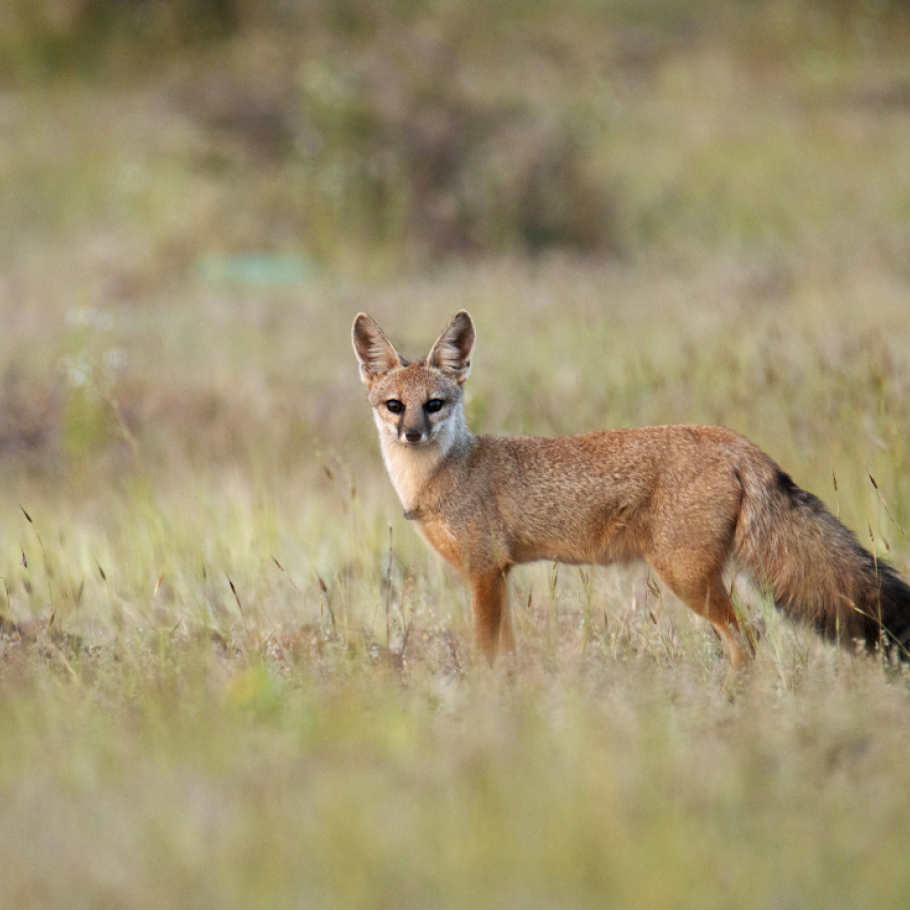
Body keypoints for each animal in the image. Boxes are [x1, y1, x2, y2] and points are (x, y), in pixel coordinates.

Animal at [352, 310, 910, 668]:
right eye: (395, 406)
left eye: (435, 405)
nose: (412, 434)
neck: (446, 472)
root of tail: (730, 439)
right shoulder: (500, 574)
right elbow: (507, 655)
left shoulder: (483, 572)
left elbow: (485, 656)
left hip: (685, 578)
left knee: (747, 639)